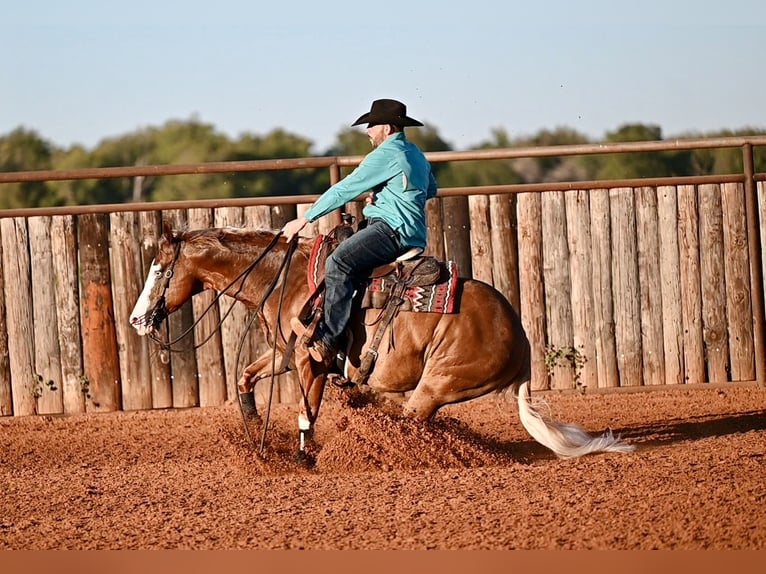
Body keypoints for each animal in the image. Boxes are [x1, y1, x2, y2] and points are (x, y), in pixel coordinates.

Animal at [129, 221, 634, 460]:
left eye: (159, 269)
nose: (137, 319)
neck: (287, 280)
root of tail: (524, 342)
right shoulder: (285, 354)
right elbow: (245, 378)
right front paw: (257, 432)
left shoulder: (311, 360)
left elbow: (307, 413)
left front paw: (303, 458)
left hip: (439, 385)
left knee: (412, 420)